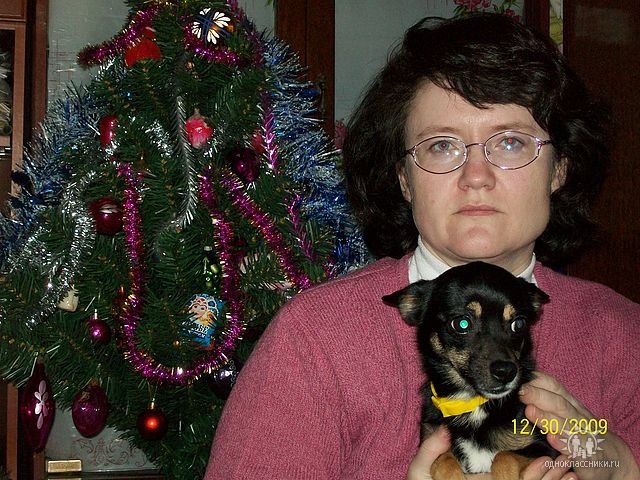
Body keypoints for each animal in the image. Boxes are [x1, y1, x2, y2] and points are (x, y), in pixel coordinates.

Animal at [383, 261, 558, 480]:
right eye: (462, 323)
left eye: (519, 324)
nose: (506, 372)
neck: (472, 403)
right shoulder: (431, 443)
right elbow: (444, 460)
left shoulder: (546, 451)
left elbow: (504, 456)